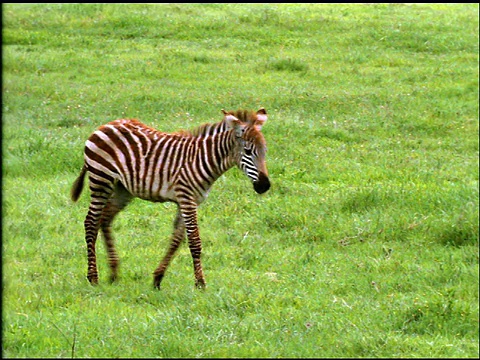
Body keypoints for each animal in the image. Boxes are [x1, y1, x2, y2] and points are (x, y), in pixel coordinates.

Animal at [70, 107, 270, 290]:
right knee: (91, 222)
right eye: (247, 151)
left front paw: (158, 278)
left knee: (105, 219)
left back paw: (113, 272)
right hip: (101, 180)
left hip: (122, 189)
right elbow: (195, 242)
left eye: (264, 151)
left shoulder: (188, 200)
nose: (264, 186)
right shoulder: (186, 198)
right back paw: (93, 277)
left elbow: (176, 240)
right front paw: (200, 283)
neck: (203, 159)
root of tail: (104, 125)